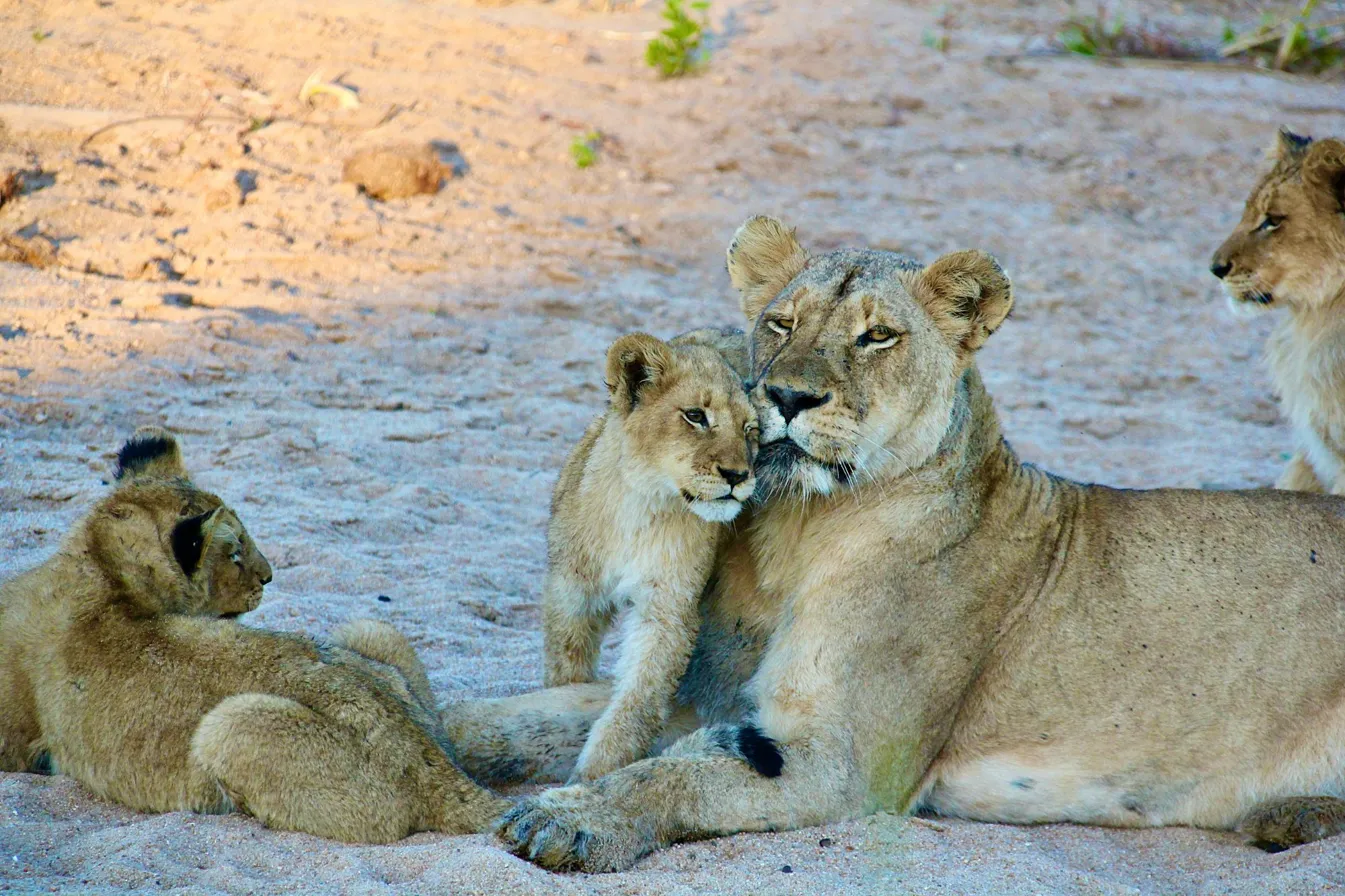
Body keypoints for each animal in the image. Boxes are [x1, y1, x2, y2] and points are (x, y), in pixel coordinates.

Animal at [0, 427, 506, 842]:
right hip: (369, 629)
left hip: (227, 724)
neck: (102, 572)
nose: (269, 576)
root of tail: (441, 771)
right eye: (235, 551)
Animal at [542, 330, 757, 782]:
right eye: (695, 416)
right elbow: (565, 672)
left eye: (751, 429)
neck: (642, 505)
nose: (737, 476)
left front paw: (595, 774)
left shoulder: (668, 607)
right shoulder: (570, 594)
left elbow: (637, 702)